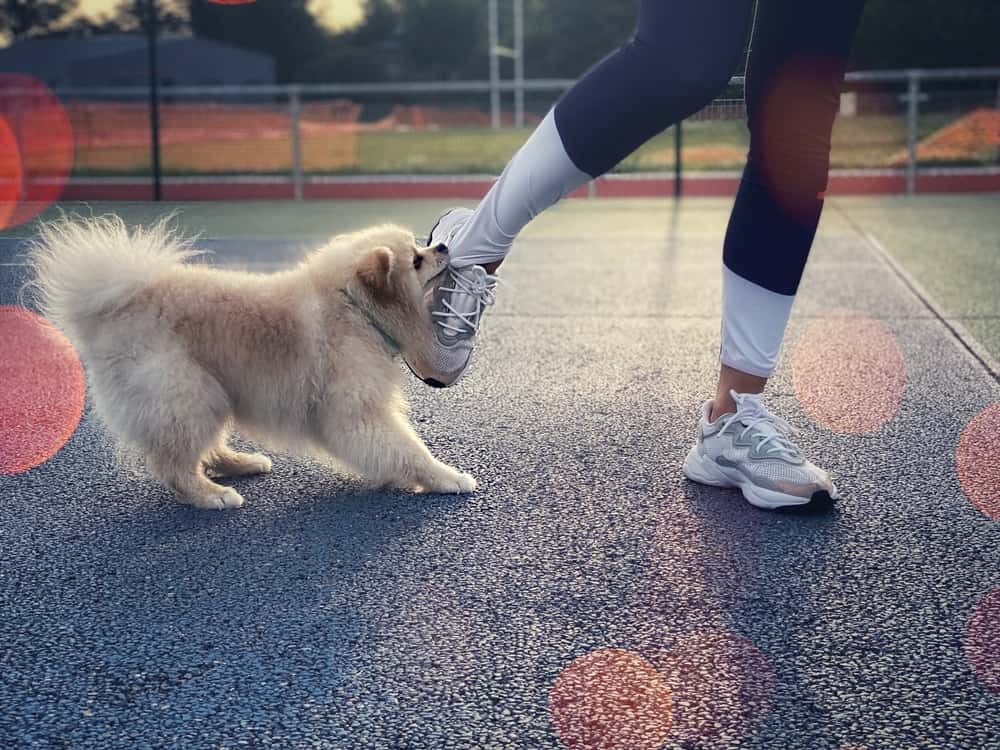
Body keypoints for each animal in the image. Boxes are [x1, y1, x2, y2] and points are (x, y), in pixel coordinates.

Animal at [25, 217, 474, 512]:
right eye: (416, 259)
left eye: (422, 246)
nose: (443, 248)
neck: (353, 307)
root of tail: (117, 306)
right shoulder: (357, 415)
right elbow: (408, 449)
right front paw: (446, 477)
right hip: (188, 393)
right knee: (173, 466)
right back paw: (211, 495)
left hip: (209, 394)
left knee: (202, 448)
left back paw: (241, 463)